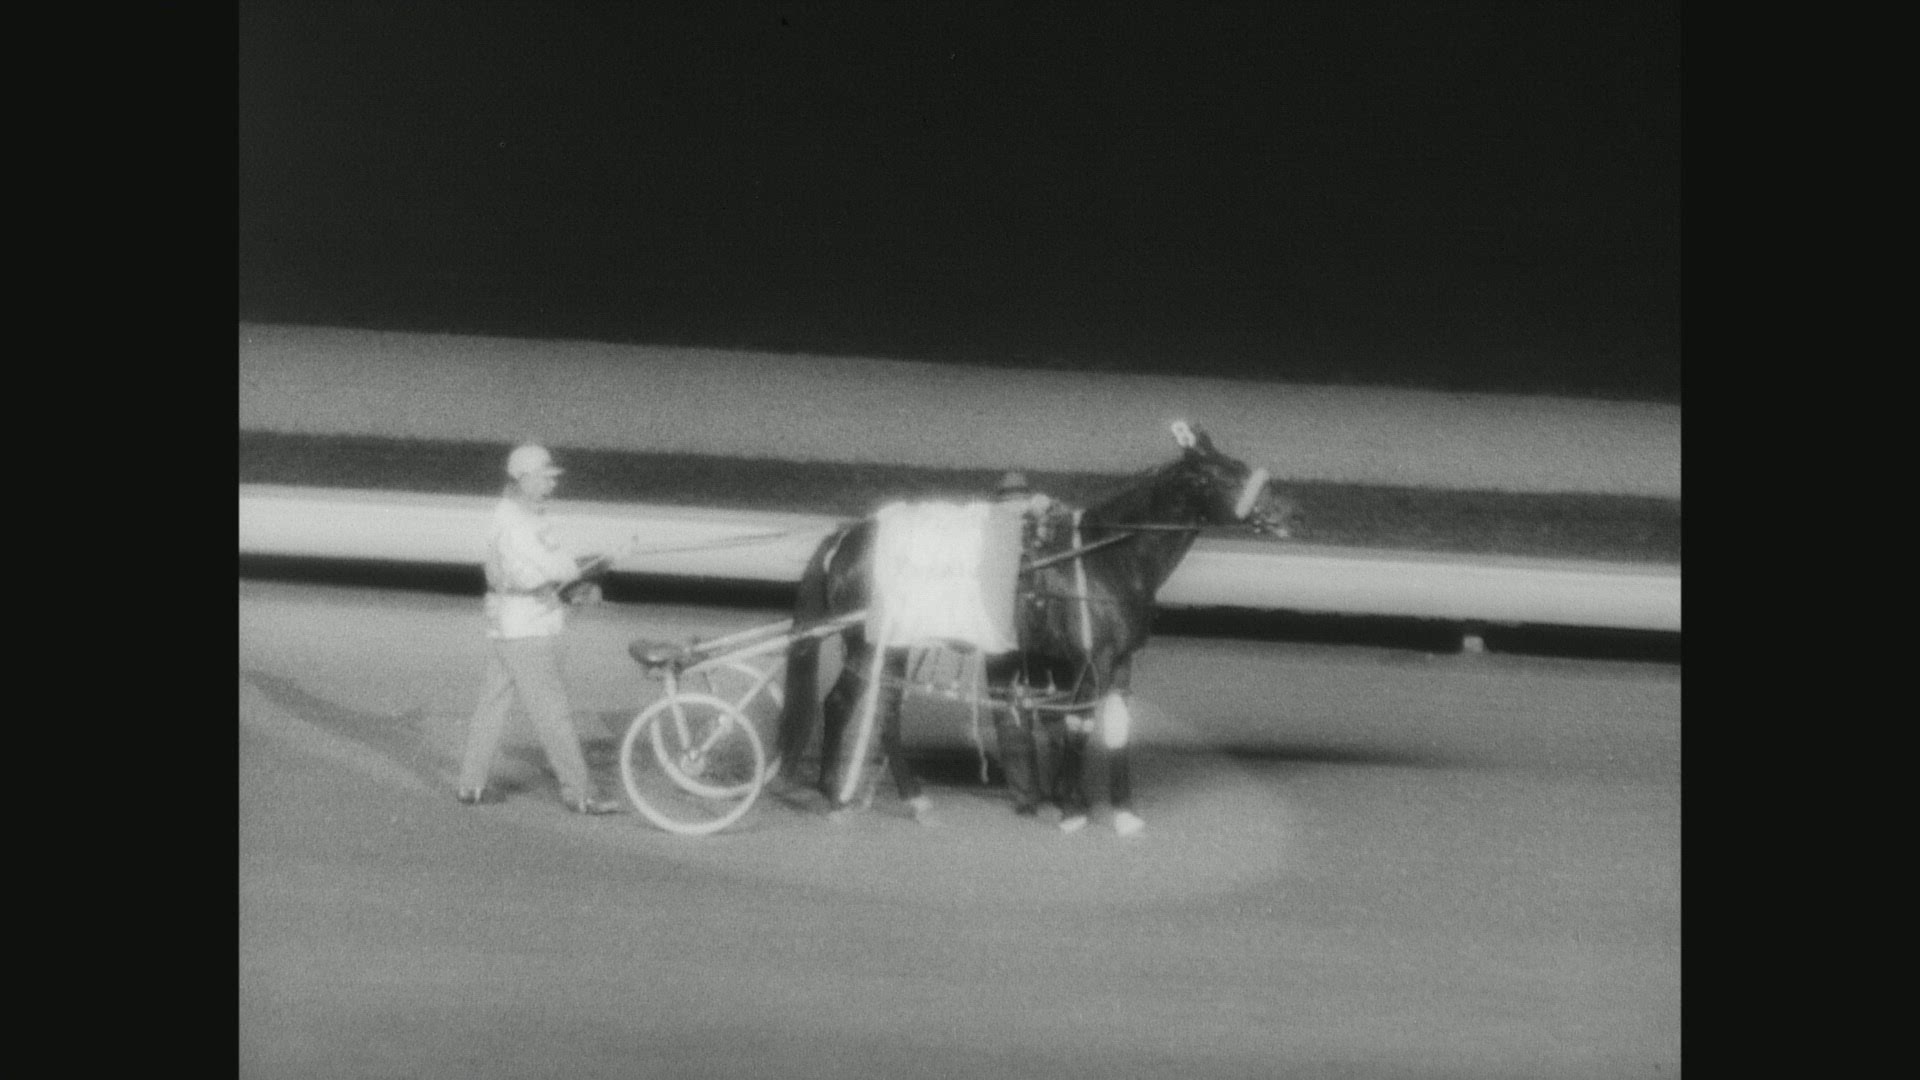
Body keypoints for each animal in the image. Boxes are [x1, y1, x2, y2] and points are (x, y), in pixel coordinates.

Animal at [772, 422, 1293, 834]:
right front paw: (1073, 809)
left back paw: (877, 796)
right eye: (1221, 472)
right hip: (874, 643)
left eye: (1238, 463)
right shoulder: (1092, 660)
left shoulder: (1121, 661)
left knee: (867, 709)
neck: (1105, 556)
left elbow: (1112, 728)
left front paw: (1121, 811)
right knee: (859, 708)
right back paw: (858, 797)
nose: (1287, 513)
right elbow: (1081, 727)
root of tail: (848, 534)